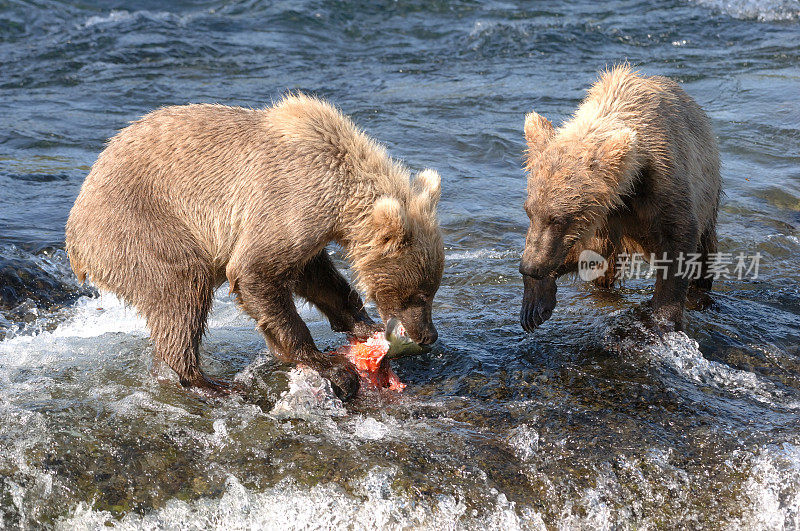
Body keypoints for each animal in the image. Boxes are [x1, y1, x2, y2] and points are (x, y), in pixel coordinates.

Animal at [64, 94, 444, 400]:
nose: (429, 335)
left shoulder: (309, 226)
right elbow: (256, 273)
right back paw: (205, 381)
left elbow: (315, 276)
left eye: (432, 290)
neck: (340, 191)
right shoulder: (288, 199)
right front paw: (329, 365)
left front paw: (363, 325)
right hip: (141, 227)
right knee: (181, 289)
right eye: (419, 294)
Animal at [520, 65, 720, 332]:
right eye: (529, 211)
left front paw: (663, 316)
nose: (529, 265)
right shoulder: (605, 216)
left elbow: (678, 241)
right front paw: (534, 305)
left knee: (705, 253)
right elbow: (588, 250)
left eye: (560, 218)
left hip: (709, 200)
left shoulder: (663, 184)